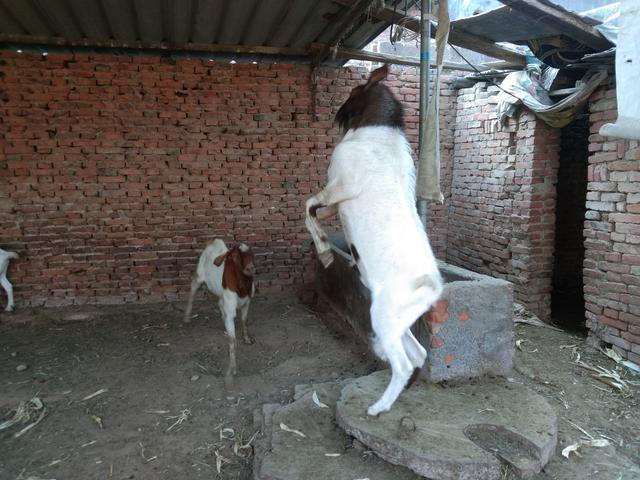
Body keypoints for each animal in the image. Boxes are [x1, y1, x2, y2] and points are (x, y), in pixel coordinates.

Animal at [308, 64, 442, 416]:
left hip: (382, 315)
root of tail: (431, 286)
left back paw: (377, 407)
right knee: (418, 354)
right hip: (397, 322)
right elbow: (315, 213)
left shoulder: (339, 187)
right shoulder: (335, 202)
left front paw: (325, 253)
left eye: (356, 91)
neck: (377, 136)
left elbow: (307, 207)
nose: (338, 115)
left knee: (404, 363)